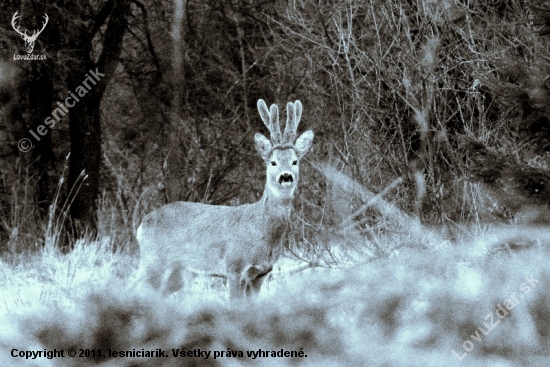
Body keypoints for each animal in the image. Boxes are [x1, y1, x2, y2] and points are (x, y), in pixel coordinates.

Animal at [135, 99, 314, 300]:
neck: (261, 229)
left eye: (294, 161)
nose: (286, 176)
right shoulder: (234, 267)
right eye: (273, 162)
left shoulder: (260, 274)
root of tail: (142, 225)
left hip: (175, 271)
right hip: (153, 261)